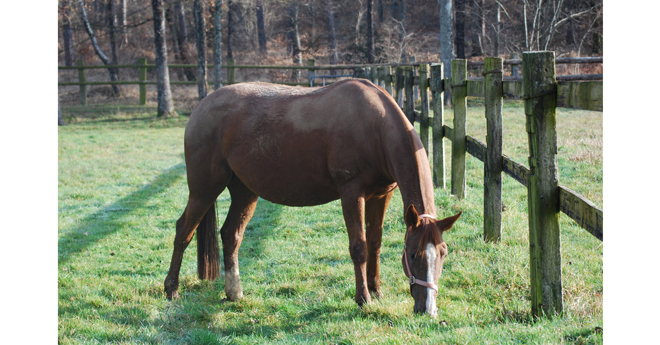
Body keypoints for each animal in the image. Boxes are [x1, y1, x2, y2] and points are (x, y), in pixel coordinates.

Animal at [164, 79, 462, 316]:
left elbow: (375, 244)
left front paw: (376, 291)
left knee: (231, 234)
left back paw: (234, 292)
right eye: (412, 254)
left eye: (443, 253)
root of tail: (202, 106)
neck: (373, 125)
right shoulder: (351, 193)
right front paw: (363, 298)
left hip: (244, 191)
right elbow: (359, 247)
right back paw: (171, 289)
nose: (428, 309)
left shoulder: (382, 195)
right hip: (204, 189)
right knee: (184, 231)